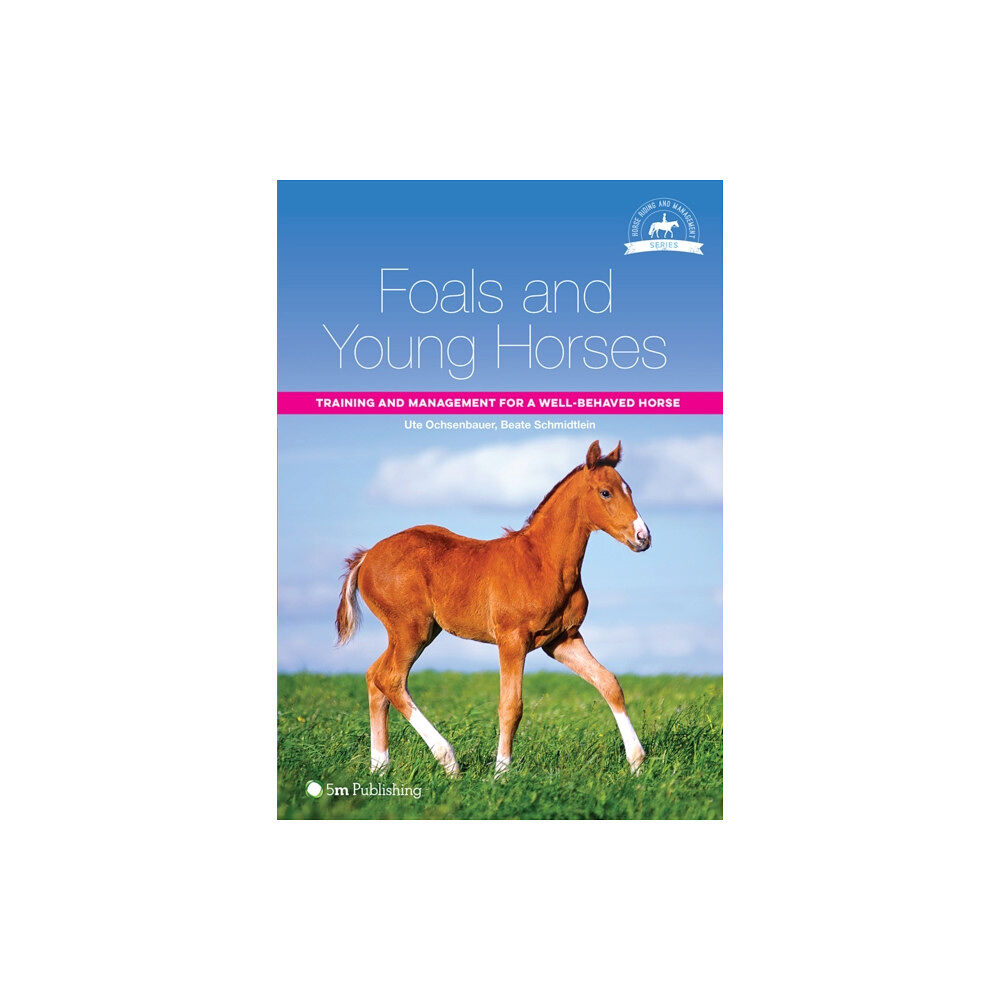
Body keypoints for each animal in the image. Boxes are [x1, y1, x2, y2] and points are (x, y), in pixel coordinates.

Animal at [335, 440, 652, 777]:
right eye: (606, 492)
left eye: (629, 489)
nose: (643, 537)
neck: (543, 561)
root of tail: (367, 556)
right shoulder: (512, 640)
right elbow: (511, 706)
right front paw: (501, 771)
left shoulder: (562, 639)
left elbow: (609, 683)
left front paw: (636, 762)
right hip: (411, 629)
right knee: (390, 679)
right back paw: (448, 760)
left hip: (415, 631)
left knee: (374, 677)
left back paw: (380, 766)